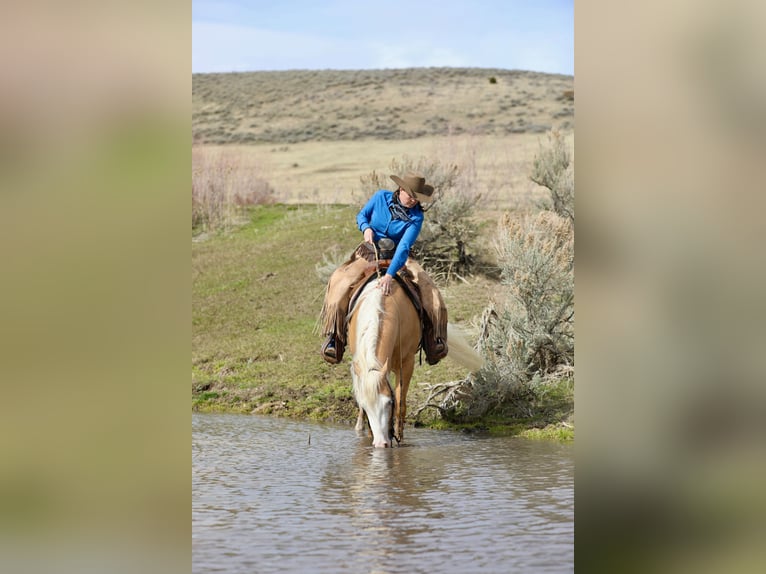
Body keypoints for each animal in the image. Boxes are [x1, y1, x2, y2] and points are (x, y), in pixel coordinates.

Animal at [348, 277, 484, 448]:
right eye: (367, 407)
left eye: (389, 402)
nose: (381, 444)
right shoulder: (359, 366)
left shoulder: (406, 364)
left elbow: (401, 405)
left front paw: (400, 439)